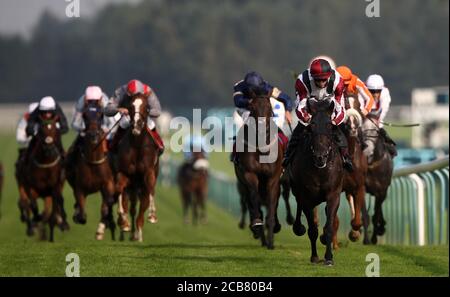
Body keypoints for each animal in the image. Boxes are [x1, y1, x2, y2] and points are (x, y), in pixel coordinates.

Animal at [66, 100, 117, 239]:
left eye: (100, 115)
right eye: (84, 115)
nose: (93, 134)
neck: (93, 161)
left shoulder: (108, 183)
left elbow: (106, 206)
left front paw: (101, 229)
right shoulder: (79, 187)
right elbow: (82, 214)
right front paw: (78, 215)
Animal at [115, 93, 159, 242]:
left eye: (147, 107)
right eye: (130, 106)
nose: (137, 125)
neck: (137, 146)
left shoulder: (149, 172)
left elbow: (151, 189)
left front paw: (152, 214)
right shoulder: (123, 173)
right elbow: (119, 190)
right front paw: (123, 220)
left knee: (141, 208)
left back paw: (138, 234)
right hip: (132, 187)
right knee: (129, 204)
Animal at [234, 93, 284, 249]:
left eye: (269, 107)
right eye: (252, 107)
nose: (262, 128)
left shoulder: (273, 178)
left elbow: (272, 204)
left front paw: (271, 240)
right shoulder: (249, 175)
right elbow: (254, 198)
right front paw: (257, 225)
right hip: (243, 184)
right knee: (250, 201)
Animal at [288, 96, 344, 264]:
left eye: (329, 126)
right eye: (311, 127)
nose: (320, 156)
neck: (320, 170)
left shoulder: (333, 195)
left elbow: (329, 226)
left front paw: (329, 257)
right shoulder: (306, 197)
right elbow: (312, 229)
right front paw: (314, 256)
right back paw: (298, 227)